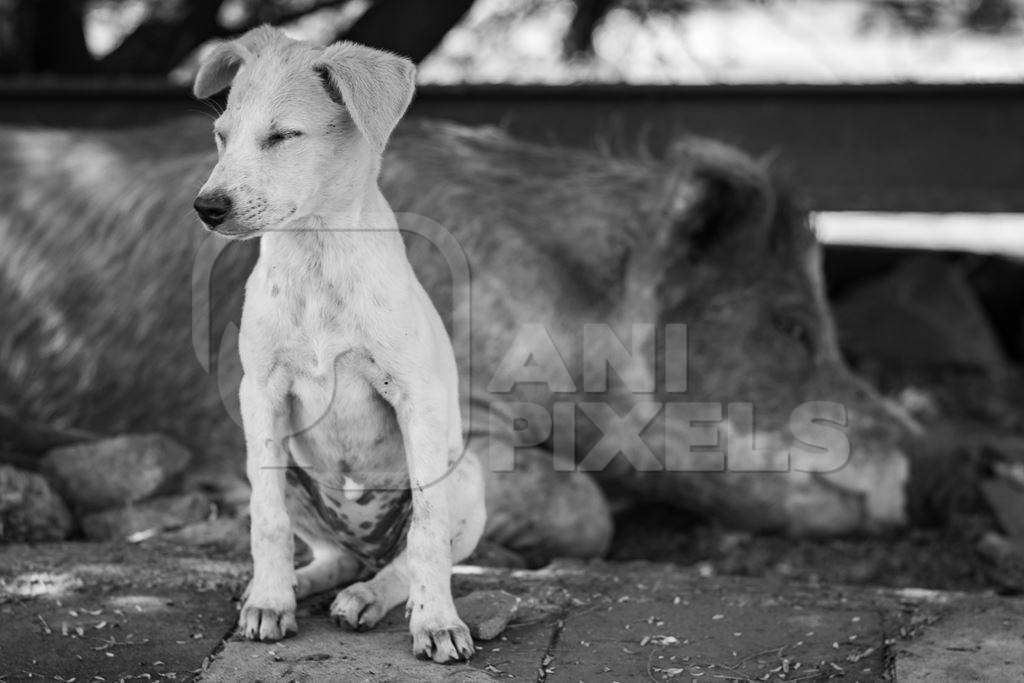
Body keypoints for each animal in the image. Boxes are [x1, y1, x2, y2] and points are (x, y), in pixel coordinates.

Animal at [192, 26, 487, 663]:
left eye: (282, 136)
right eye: (221, 135)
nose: (207, 207)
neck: (316, 253)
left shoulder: (416, 397)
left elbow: (428, 534)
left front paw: (437, 623)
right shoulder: (261, 394)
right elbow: (267, 521)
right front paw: (270, 602)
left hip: (468, 475)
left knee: (403, 561)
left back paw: (371, 598)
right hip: (289, 471)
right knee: (333, 555)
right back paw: (288, 587)